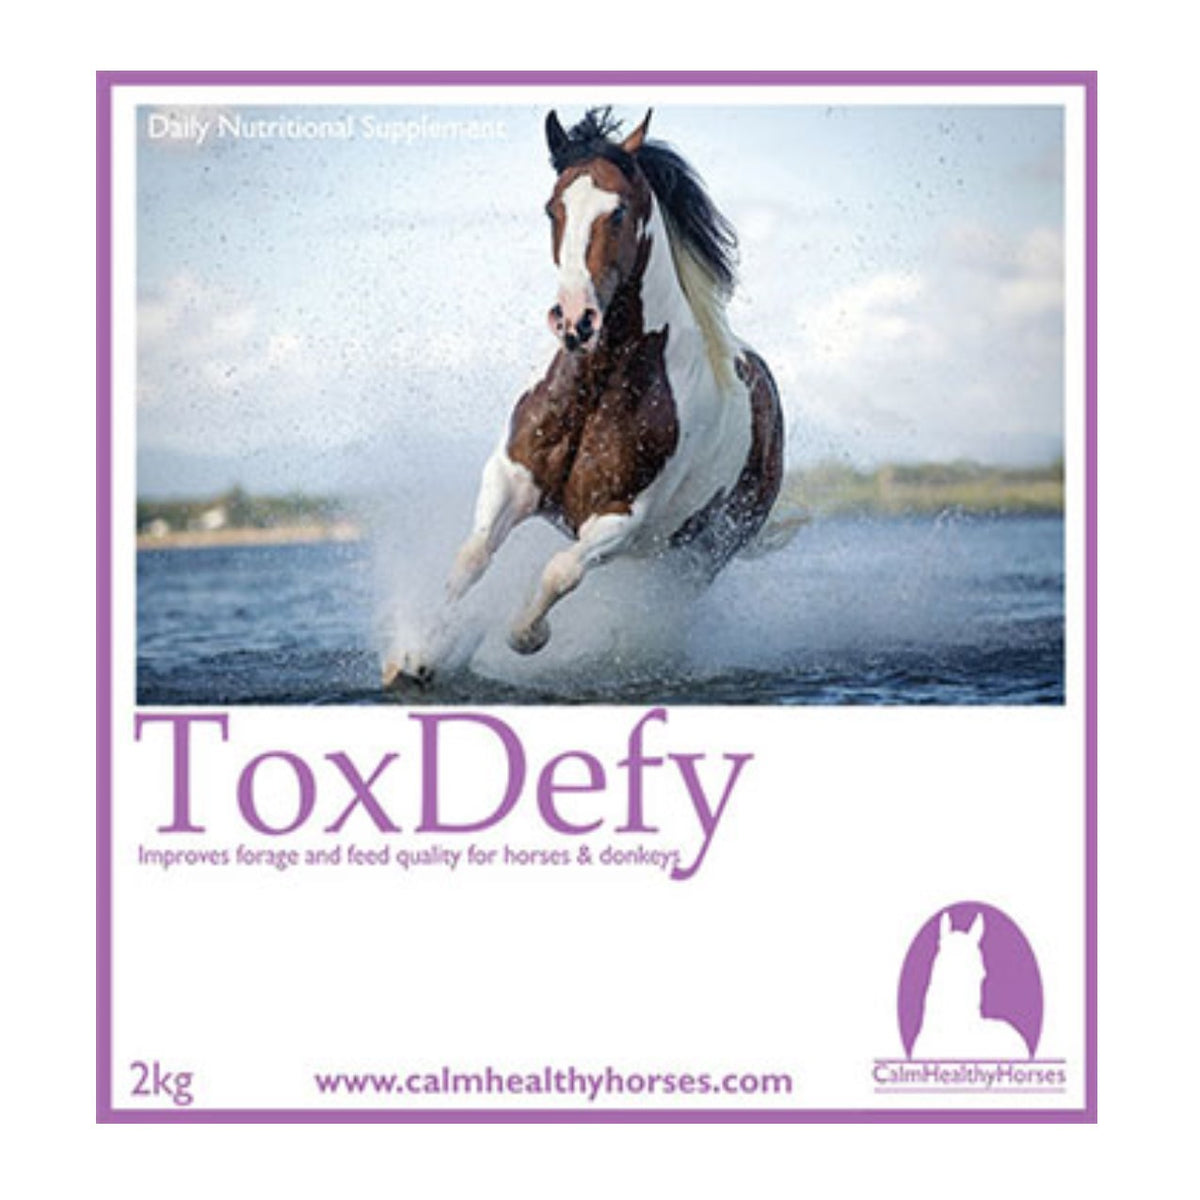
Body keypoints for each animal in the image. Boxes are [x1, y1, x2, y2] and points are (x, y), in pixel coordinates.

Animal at [384, 108, 784, 688]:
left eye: (618, 212)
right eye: (554, 207)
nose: (575, 320)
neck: (600, 384)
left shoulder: (622, 516)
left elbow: (560, 572)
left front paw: (527, 636)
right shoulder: (512, 477)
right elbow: (470, 559)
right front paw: (418, 656)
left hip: (698, 555)